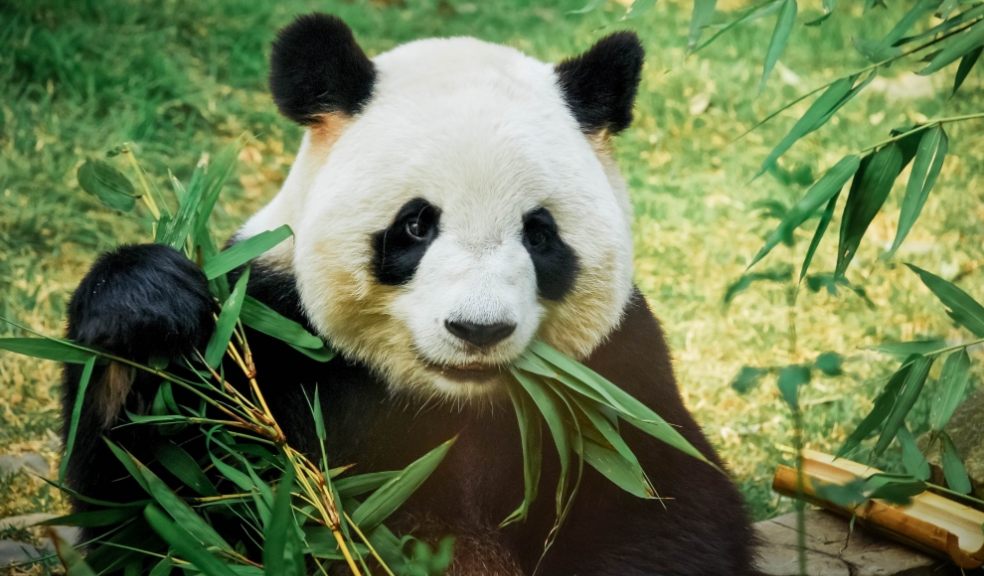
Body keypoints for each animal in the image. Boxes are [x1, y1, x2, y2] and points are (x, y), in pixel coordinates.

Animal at [59, 13, 752, 576]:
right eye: (417, 225)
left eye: (539, 233)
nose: (478, 330)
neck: (449, 401)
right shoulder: (271, 331)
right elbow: (162, 508)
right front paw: (145, 308)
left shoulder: (614, 369)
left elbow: (663, 500)